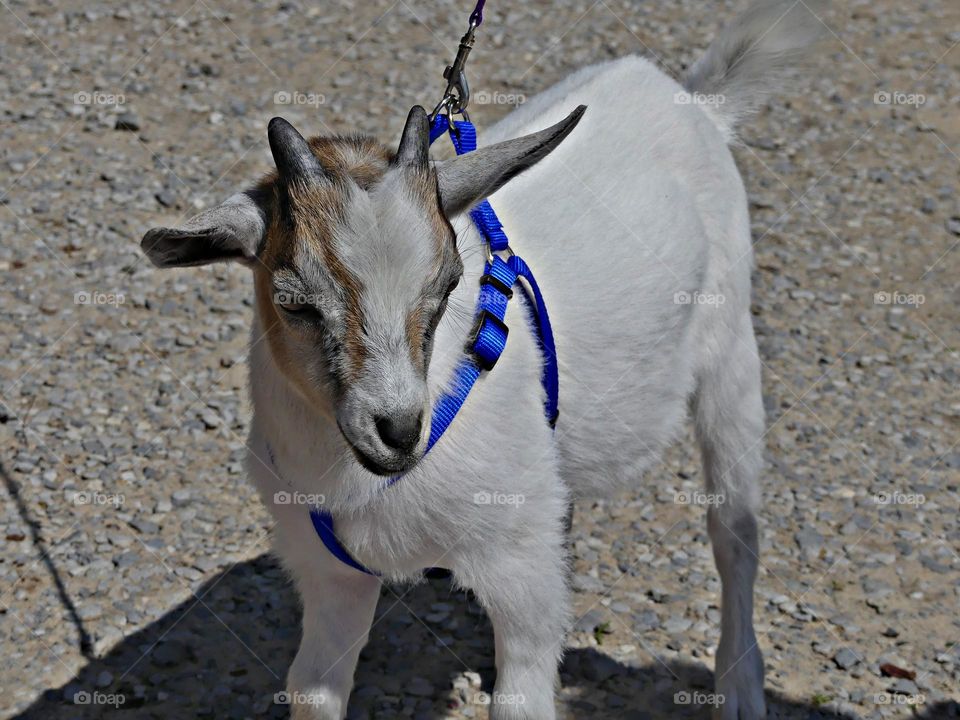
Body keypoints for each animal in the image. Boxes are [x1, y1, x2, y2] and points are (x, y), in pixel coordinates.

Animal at [142, 2, 824, 716]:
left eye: (448, 285)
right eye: (294, 302)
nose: (397, 430)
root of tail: (693, 101)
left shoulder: (520, 578)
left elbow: (520, 694)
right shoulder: (330, 574)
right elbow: (313, 686)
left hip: (731, 361)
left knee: (734, 535)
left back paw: (740, 687)